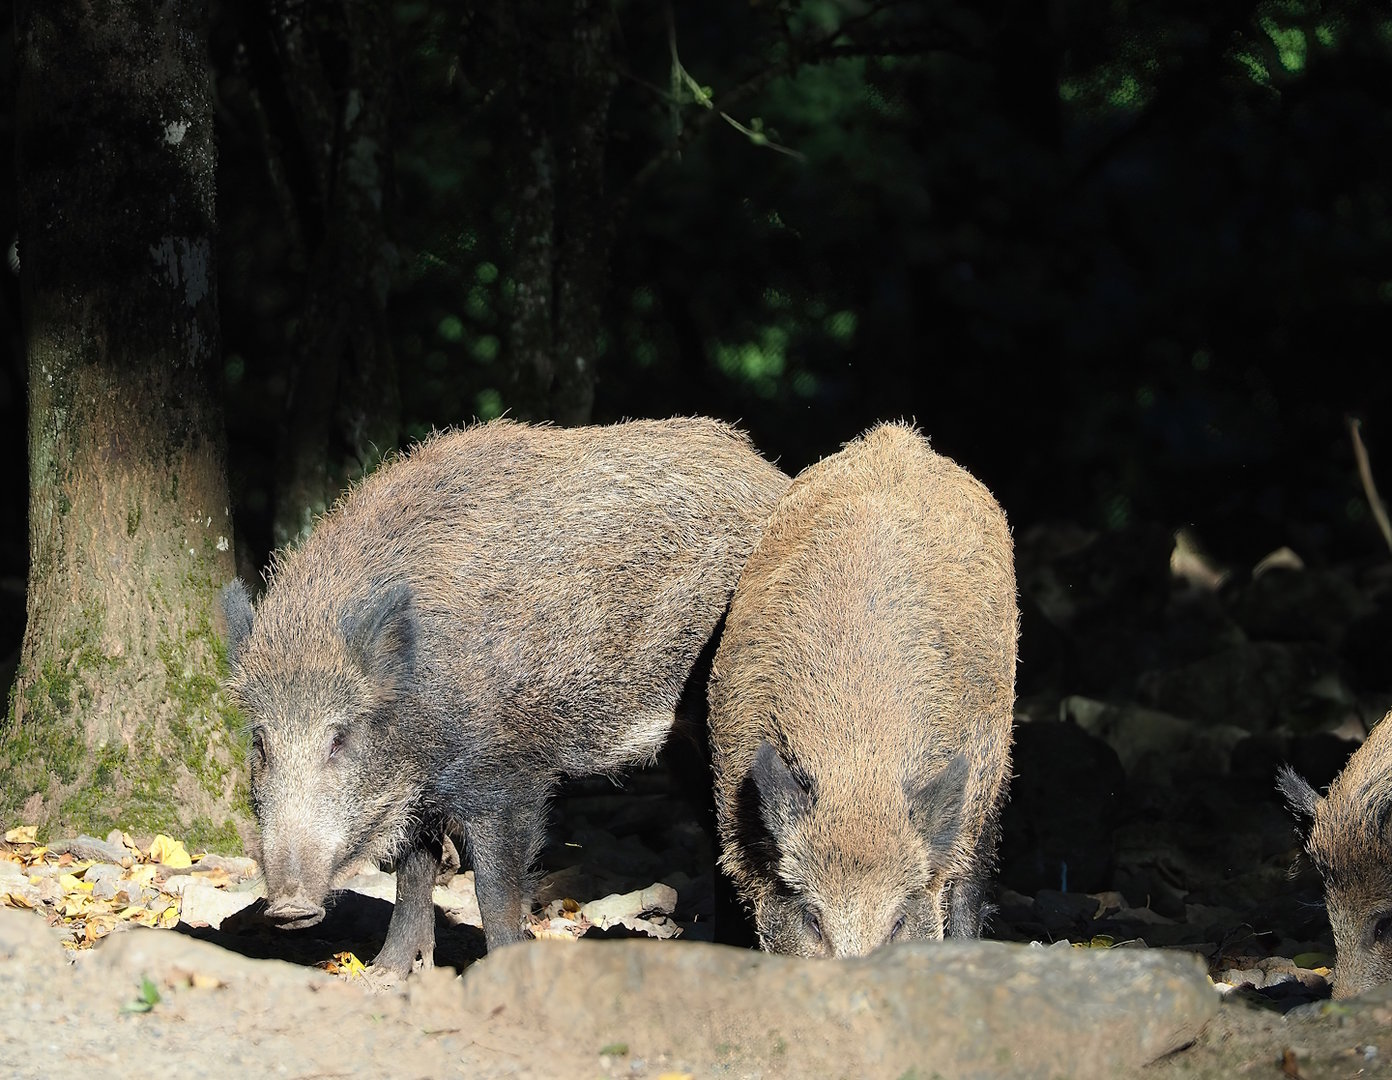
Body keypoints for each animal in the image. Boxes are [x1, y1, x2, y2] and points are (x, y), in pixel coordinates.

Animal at [221, 417, 789, 974]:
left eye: (339, 738)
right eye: (260, 743)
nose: (289, 908)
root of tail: (771, 475)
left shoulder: (510, 775)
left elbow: (494, 890)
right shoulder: (419, 790)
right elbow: (413, 874)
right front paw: (386, 977)